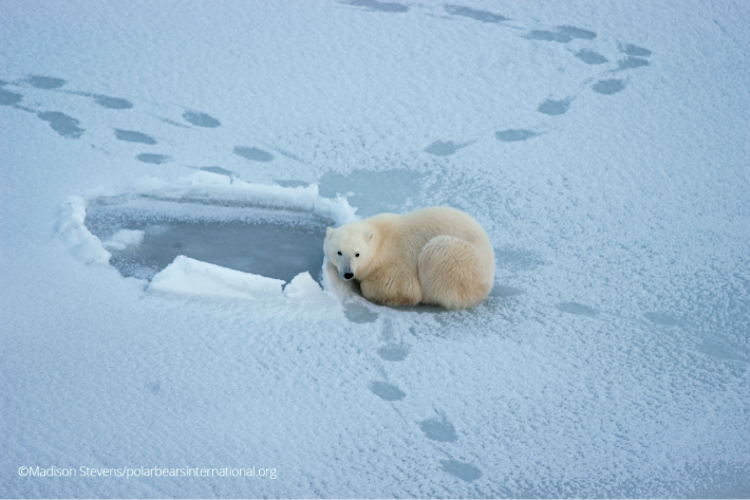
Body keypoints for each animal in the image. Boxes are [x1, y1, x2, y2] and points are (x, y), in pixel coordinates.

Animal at [324, 206, 495, 309]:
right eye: (339, 252)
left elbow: (402, 289)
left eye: (357, 254)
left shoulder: (396, 263)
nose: (348, 274)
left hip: (462, 261)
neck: (380, 241)